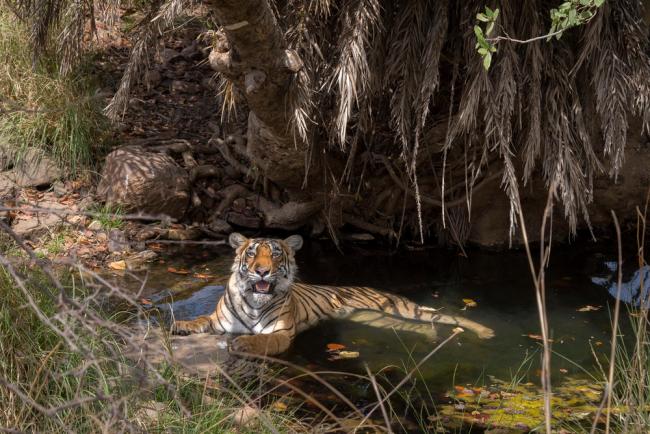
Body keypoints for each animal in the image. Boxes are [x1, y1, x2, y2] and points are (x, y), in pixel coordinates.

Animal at [170, 232, 494, 354]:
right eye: (251, 253)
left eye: (275, 254)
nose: (261, 271)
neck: (253, 301)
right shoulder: (219, 321)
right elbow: (200, 320)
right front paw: (180, 325)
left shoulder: (281, 332)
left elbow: (263, 340)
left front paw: (244, 344)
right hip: (377, 319)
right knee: (423, 326)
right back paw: (430, 338)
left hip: (402, 308)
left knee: (449, 317)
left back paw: (486, 332)